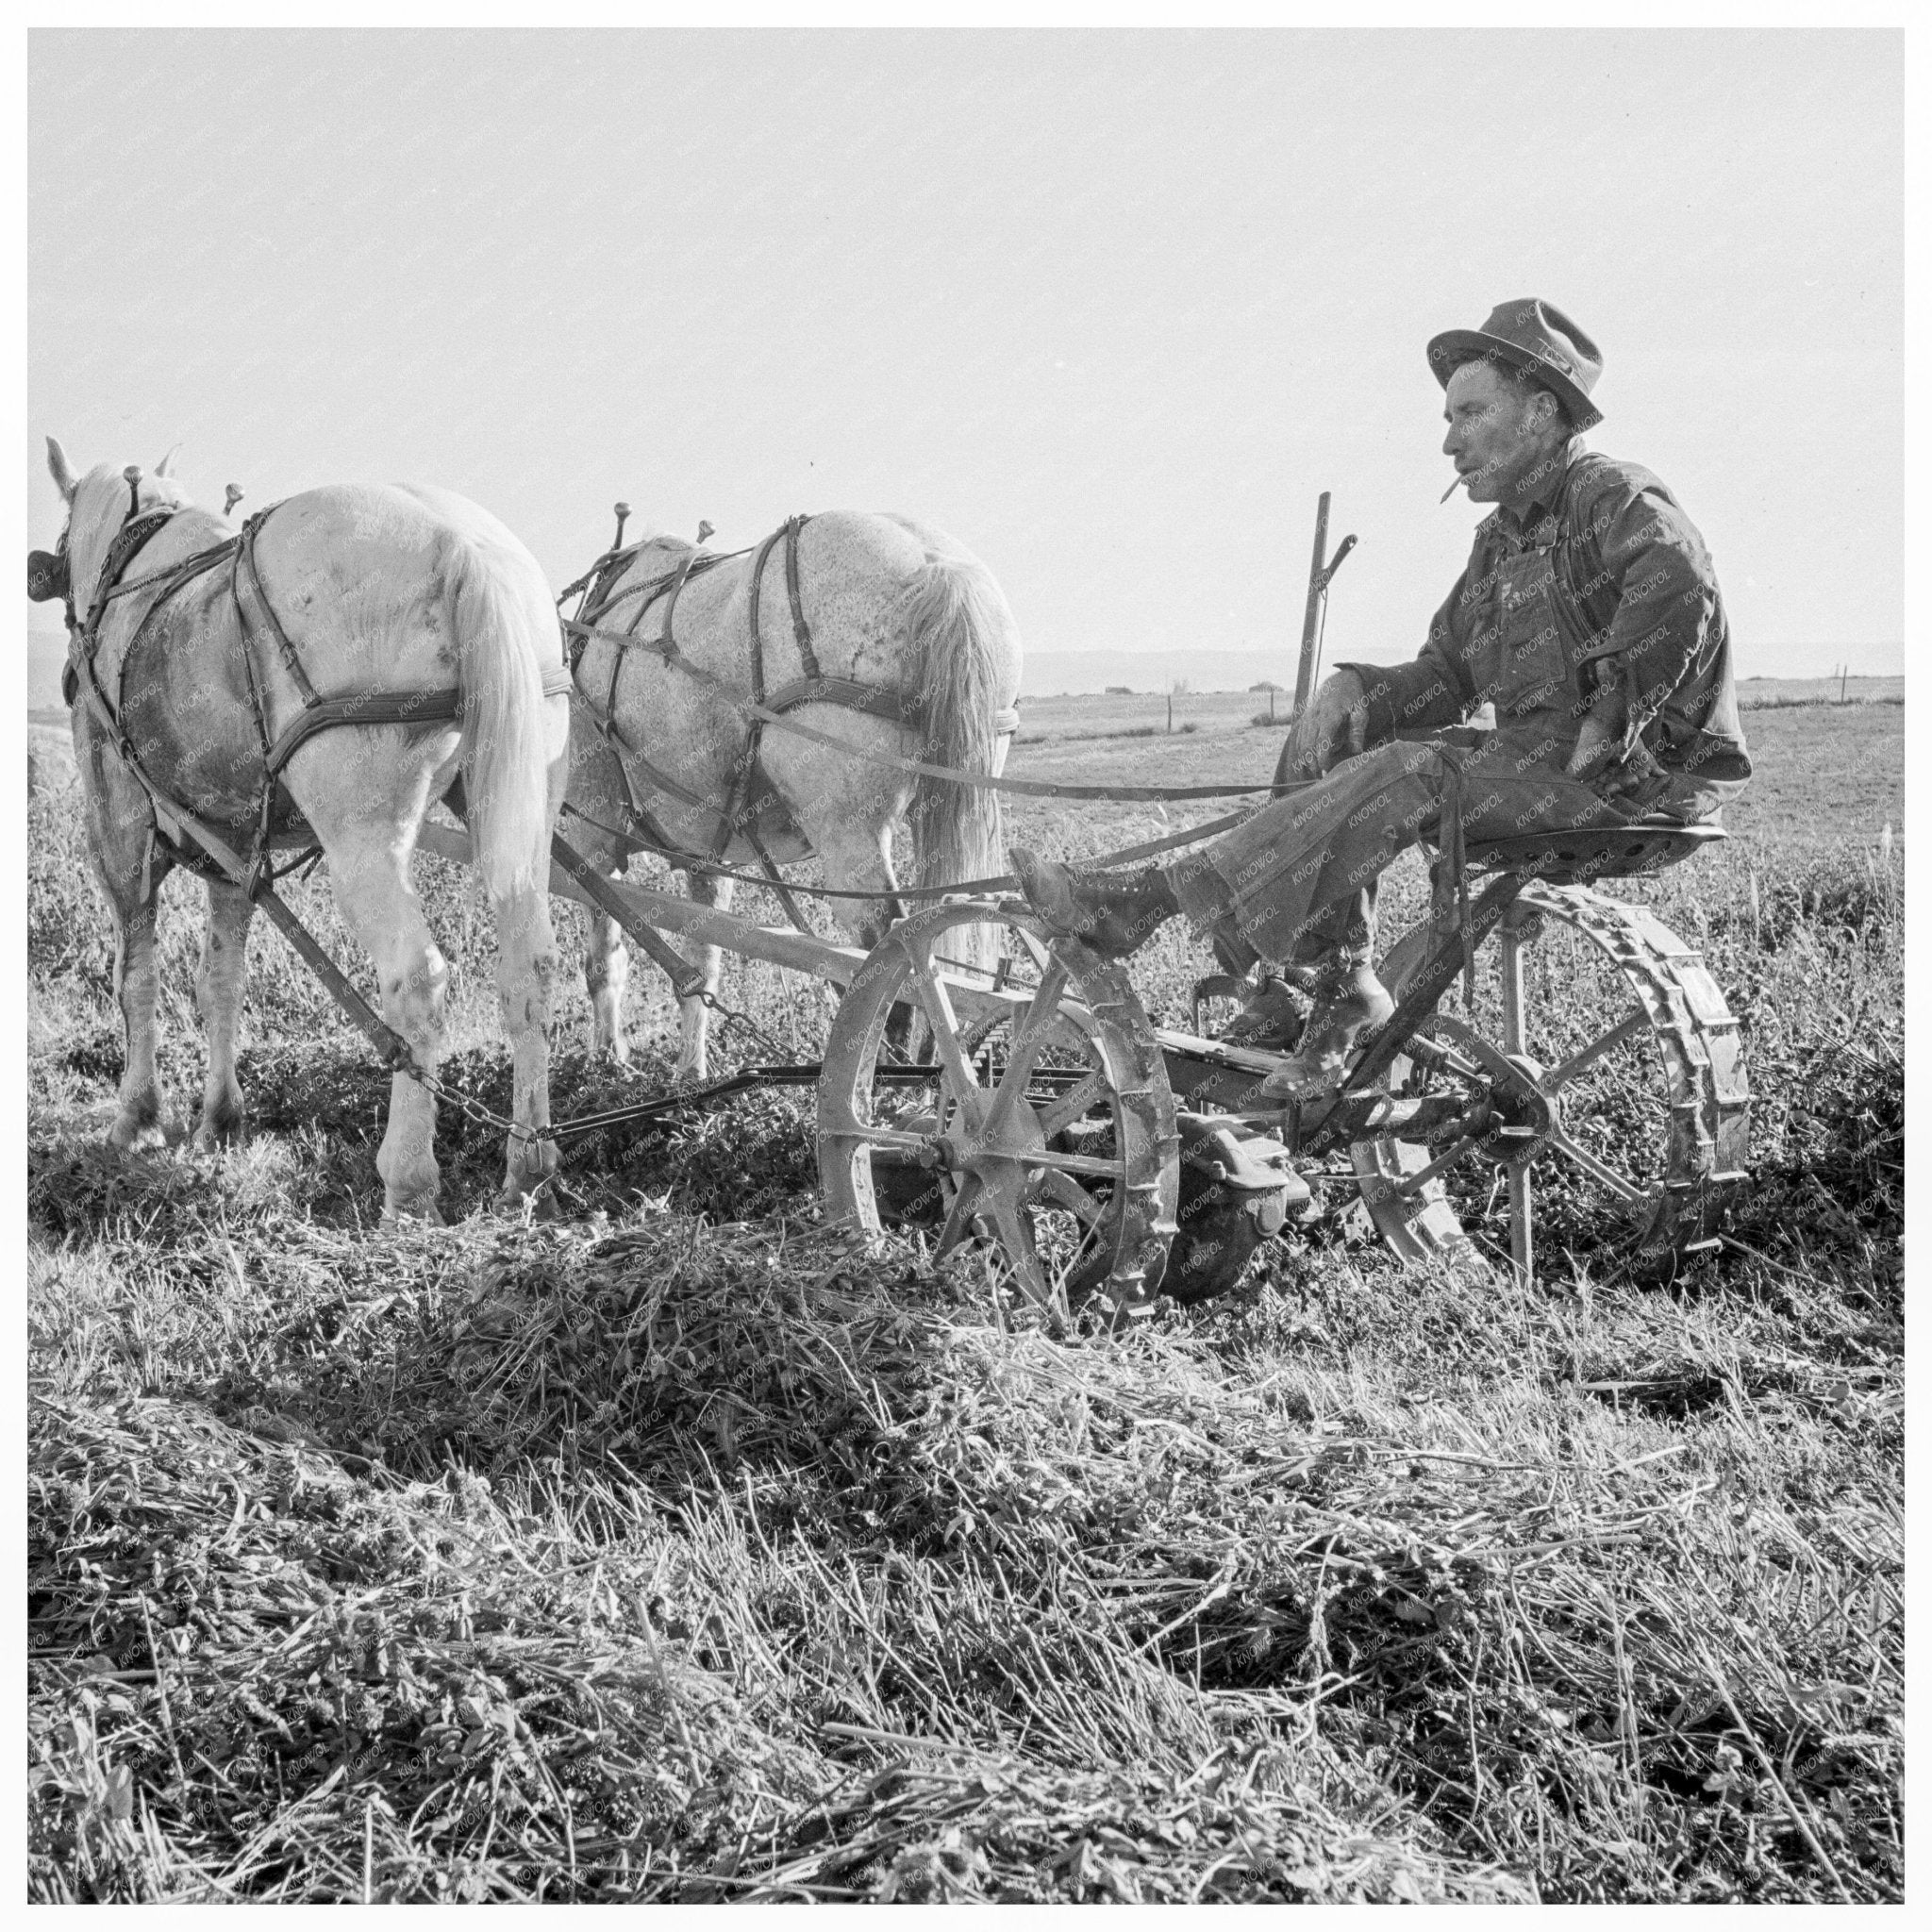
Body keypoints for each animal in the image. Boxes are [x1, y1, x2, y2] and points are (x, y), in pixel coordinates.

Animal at [34, 444, 568, 1213]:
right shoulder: (232, 842)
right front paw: (220, 1118)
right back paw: (530, 1166)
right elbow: (221, 980)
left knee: (416, 978)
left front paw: (137, 1118)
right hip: (521, 804)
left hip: (362, 831)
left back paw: (408, 1178)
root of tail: (461, 544)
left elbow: (135, 973)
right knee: (530, 969)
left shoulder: (117, 819)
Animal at [564, 513, 1027, 1081]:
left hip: (847, 827)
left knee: (884, 940)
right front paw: (689, 1072)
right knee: (936, 921)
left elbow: (603, 957)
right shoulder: (707, 852)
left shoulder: (592, 826)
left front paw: (609, 1061)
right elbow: (702, 958)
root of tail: (937, 569)